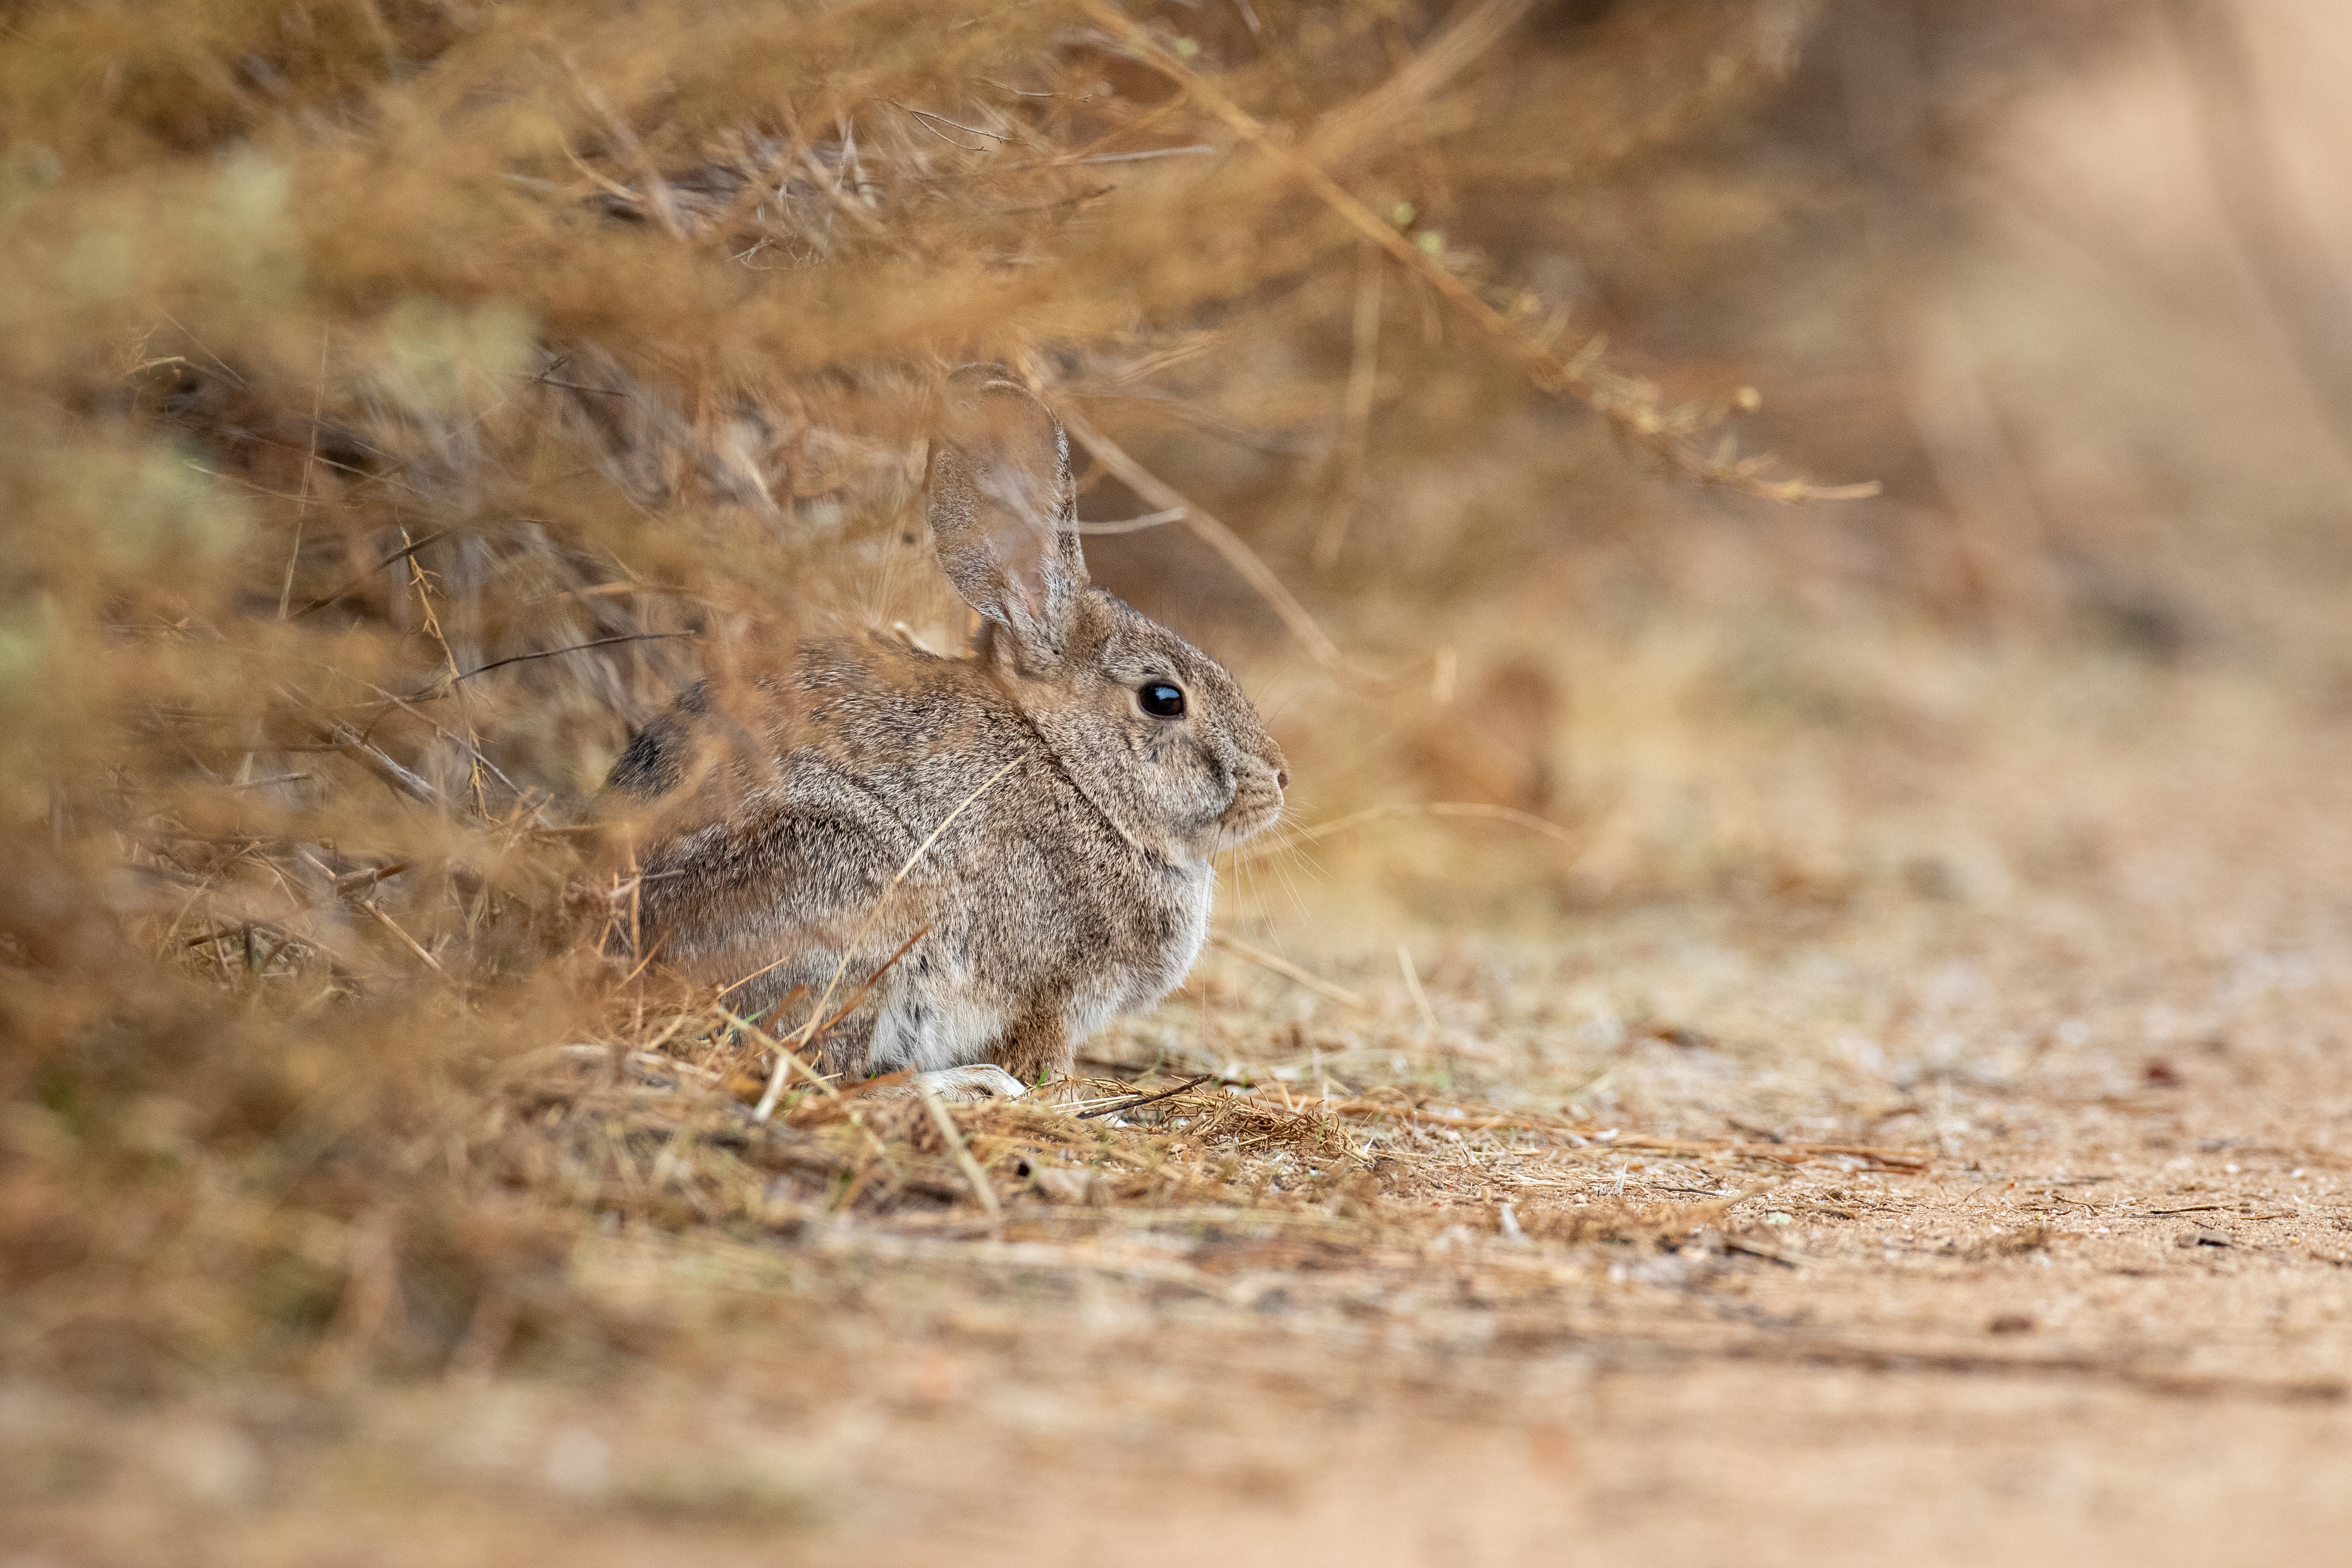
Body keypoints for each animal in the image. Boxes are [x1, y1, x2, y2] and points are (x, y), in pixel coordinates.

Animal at [605, 368, 1289, 1101]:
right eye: (1164, 699)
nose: (1278, 779)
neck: (1073, 772)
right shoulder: (1053, 991)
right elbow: (1041, 1054)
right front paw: (1062, 1095)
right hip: (853, 910)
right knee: (822, 1071)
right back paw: (973, 1085)